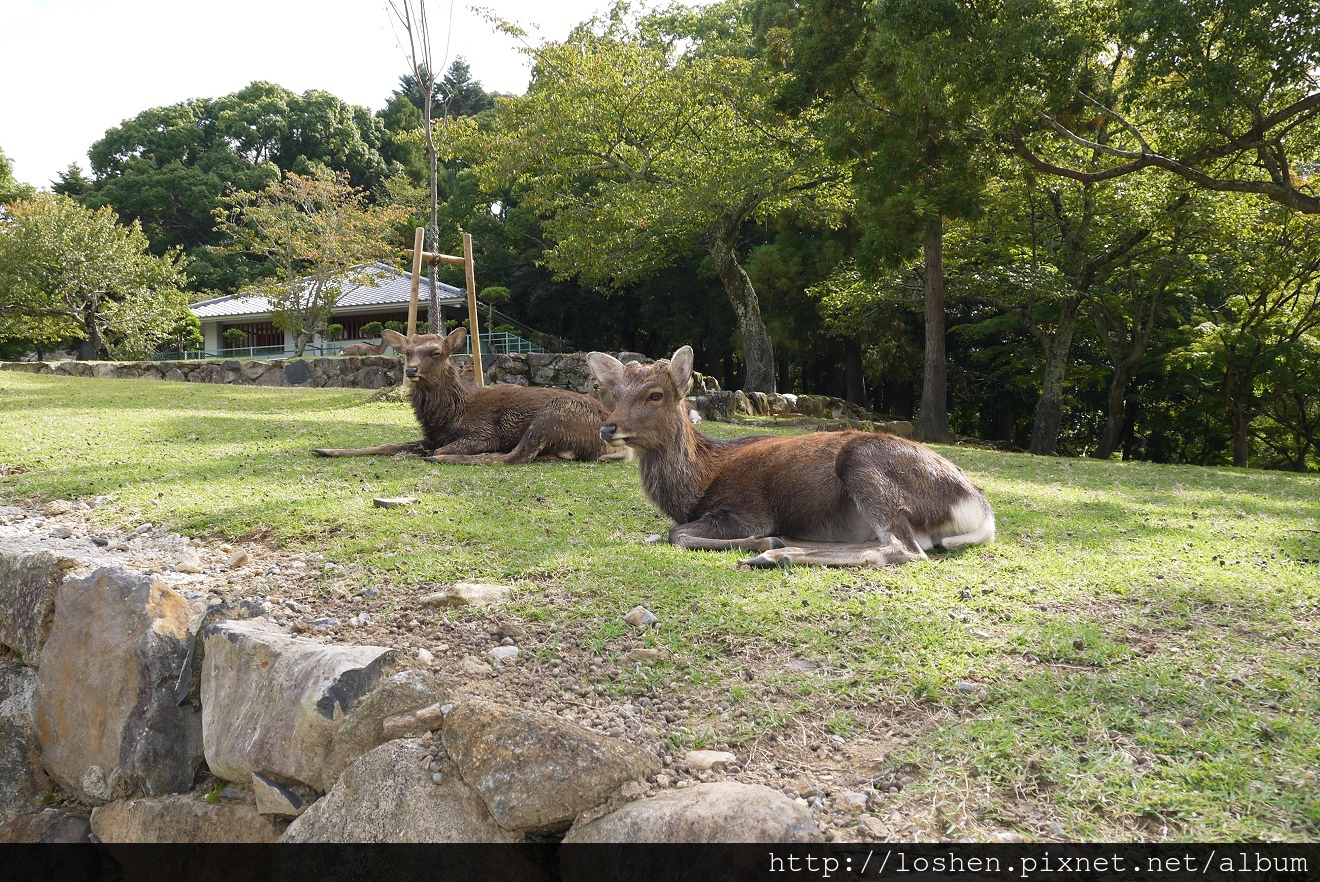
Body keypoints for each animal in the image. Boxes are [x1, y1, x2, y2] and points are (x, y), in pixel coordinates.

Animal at [316, 327, 630, 464]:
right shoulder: (431, 437)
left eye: (436, 352)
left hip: (553, 414)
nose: (411, 370)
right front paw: (325, 450)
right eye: (407, 352)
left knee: (513, 456)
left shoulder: (482, 433)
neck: (447, 415)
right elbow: (387, 444)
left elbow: (441, 449)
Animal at [588, 343, 992, 565]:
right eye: (615, 392)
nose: (609, 428)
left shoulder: (746, 510)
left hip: (863, 462)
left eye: (655, 394)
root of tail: (980, 511)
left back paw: (774, 554)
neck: (698, 483)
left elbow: (676, 534)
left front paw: (764, 541)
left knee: (903, 549)